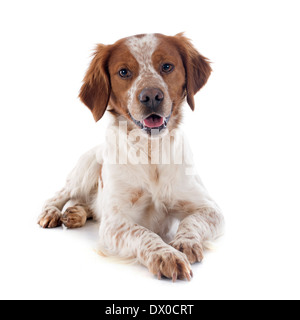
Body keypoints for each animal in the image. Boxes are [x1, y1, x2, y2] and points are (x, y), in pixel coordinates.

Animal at [37, 33, 224, 282]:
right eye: (124, 72)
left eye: (167, 66)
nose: (151, 95)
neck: (151, 153)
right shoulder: (115, 223)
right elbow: (143, 233)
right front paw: (165, 255)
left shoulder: (210, 208)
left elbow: (191, 222)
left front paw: (185, 243)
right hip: (85, 170)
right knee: (57, 196)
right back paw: (52, 213)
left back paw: (76, 213)